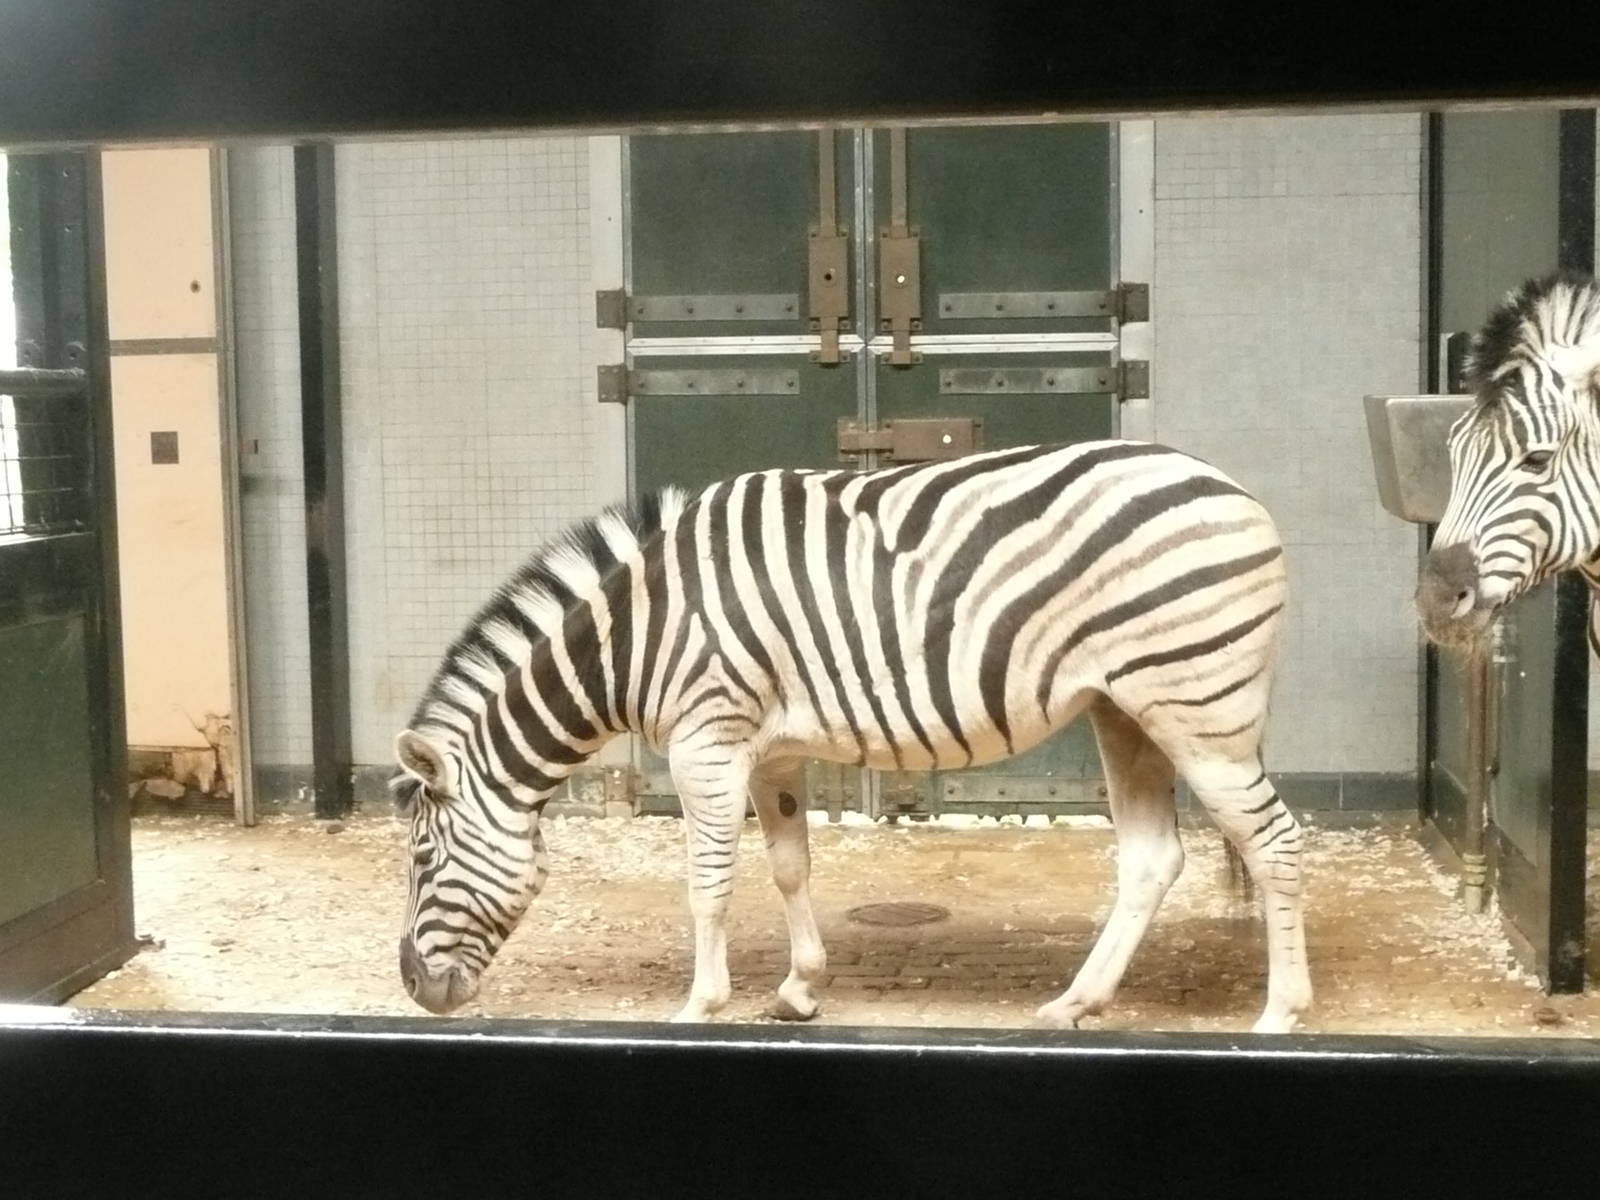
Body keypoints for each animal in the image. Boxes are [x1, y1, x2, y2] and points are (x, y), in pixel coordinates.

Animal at [391, 439, 1313, 1034]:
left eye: (423, 859)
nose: (412, 986)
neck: (639, 636)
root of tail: (1236, 490)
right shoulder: (768, 752)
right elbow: (789, 867)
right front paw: (799, 991)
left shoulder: (704, 743)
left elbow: (707, 884)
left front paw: (700, 1005)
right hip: (1125, 708)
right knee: (1155, 858)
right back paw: (1075, 1004)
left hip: (1199, 708)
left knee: (1276, 843)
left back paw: (1280, 1014)